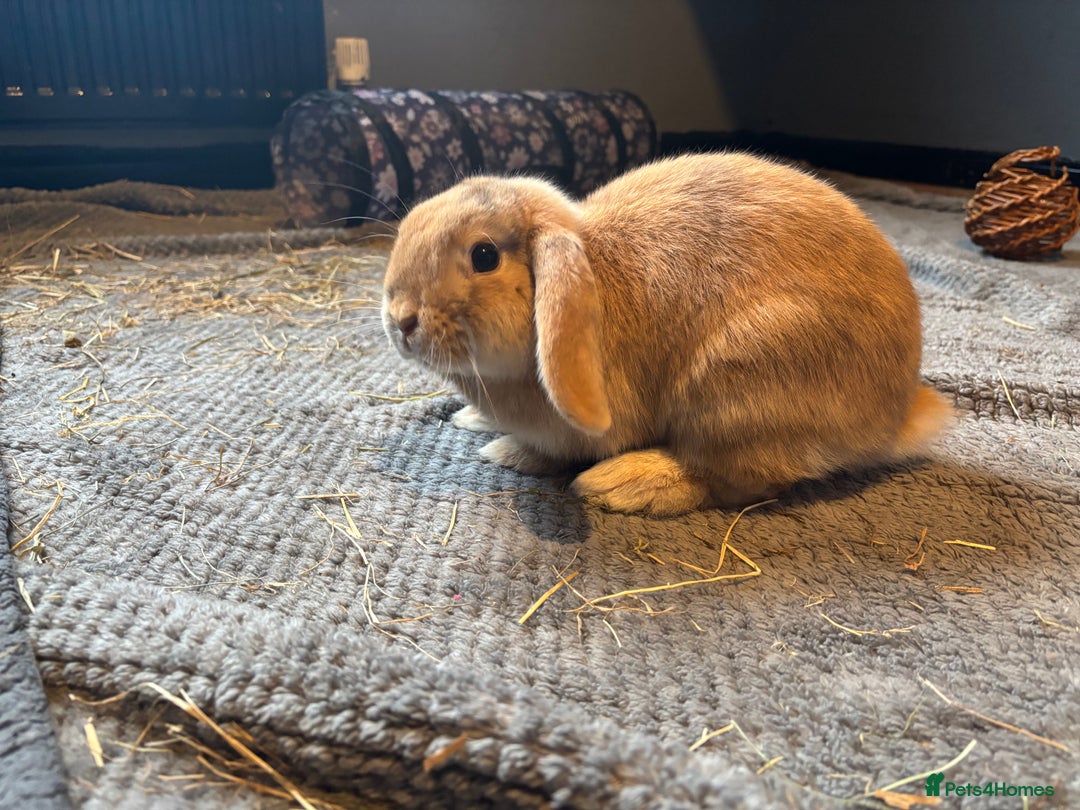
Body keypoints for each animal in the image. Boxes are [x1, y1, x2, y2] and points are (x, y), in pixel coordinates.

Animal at [381, 152, 952, 515]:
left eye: (484, 256)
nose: (400, 319)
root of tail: (894, 419)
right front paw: (472, 420)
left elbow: (555, 453)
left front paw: (508, 453)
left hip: (733, 390)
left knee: (732, 481)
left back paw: (624, 485)